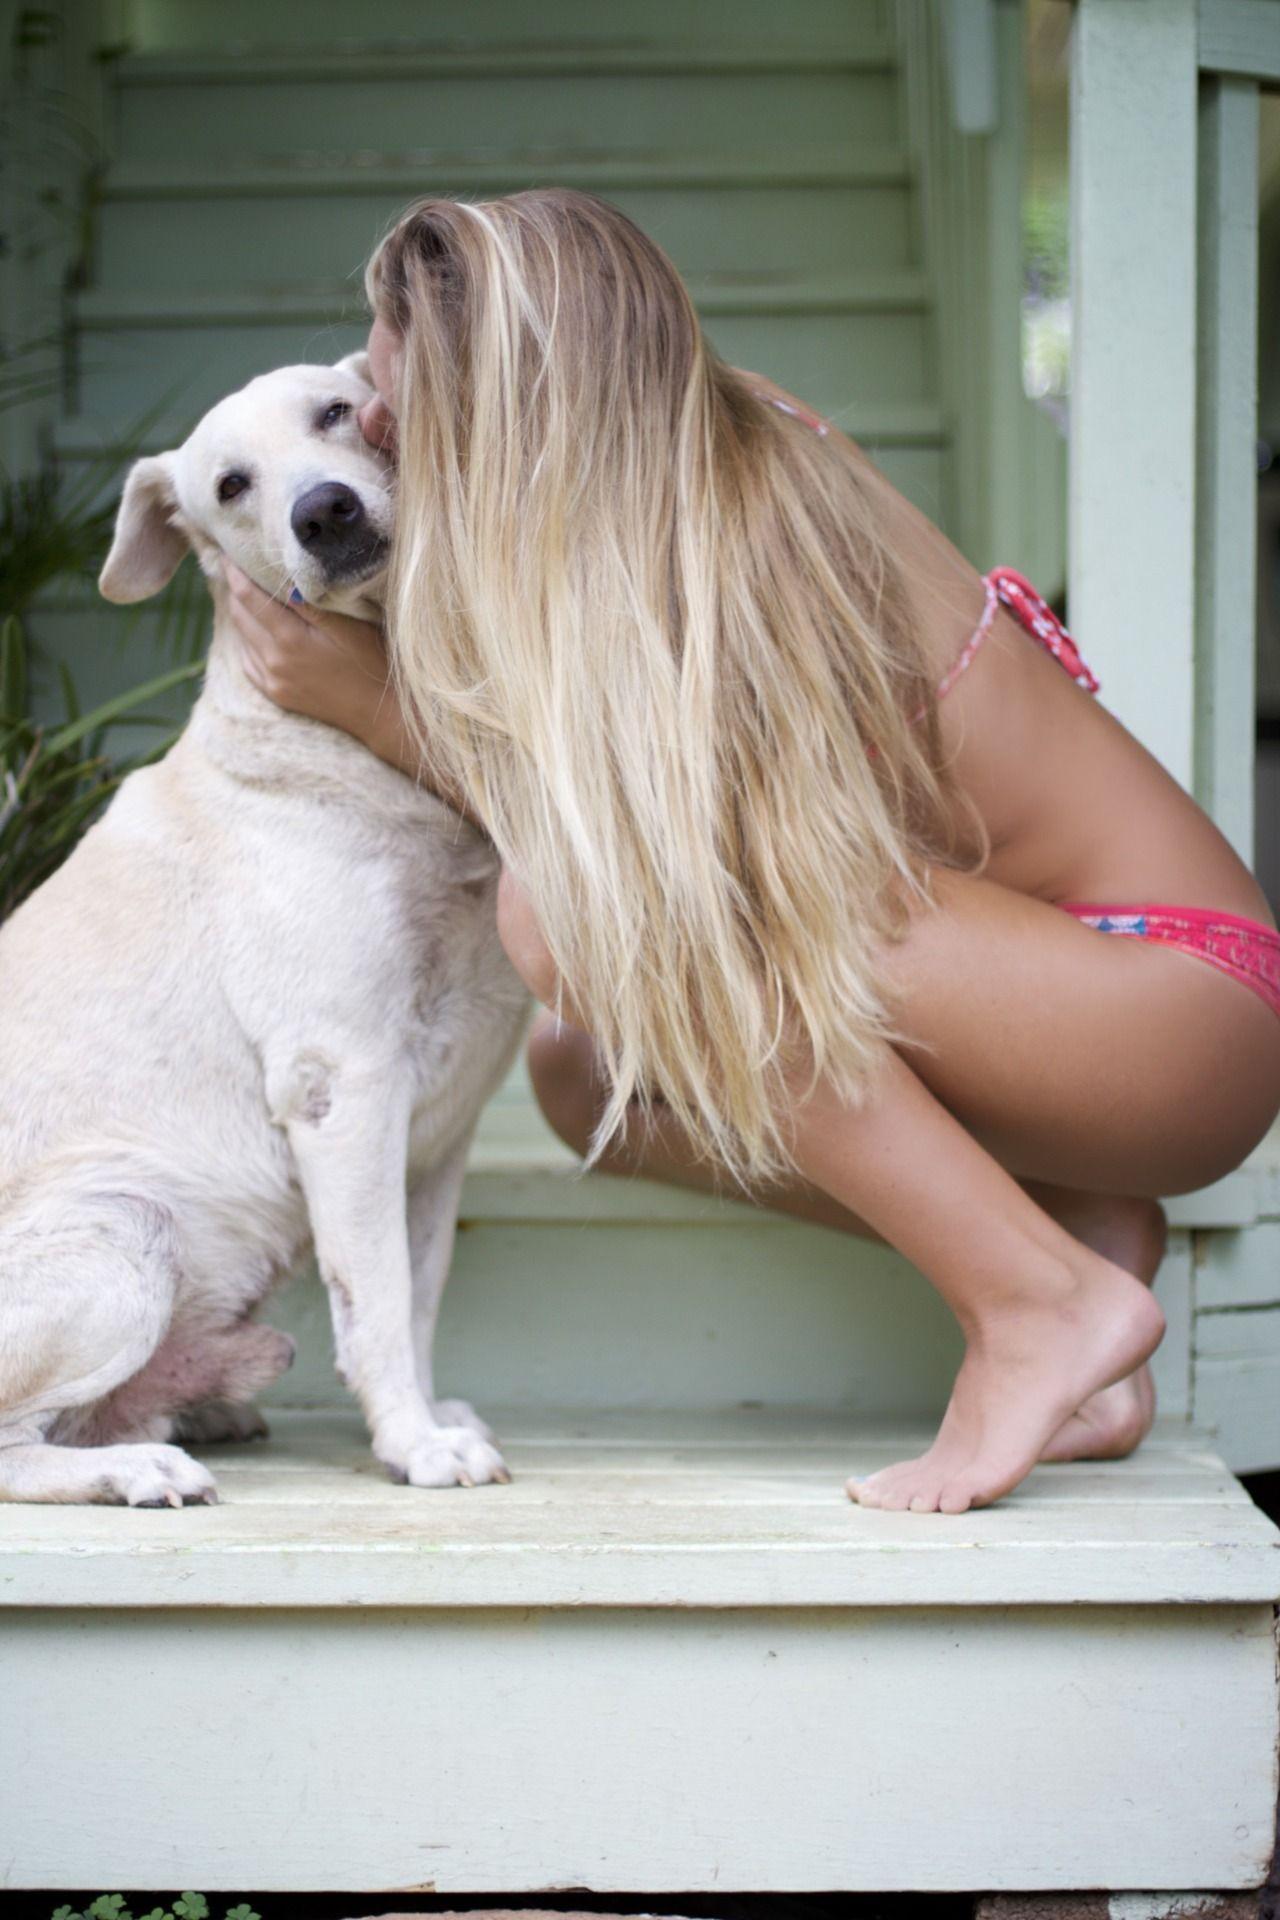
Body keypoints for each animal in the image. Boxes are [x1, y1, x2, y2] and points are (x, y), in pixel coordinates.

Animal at [0, 354, 530, 1505]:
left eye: (335, 414)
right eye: (231, 486)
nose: (323, 511)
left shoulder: (440, 1134)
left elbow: (418, 1293)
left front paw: (431, 1415)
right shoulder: (346, 1088)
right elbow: (375, 1300)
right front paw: (414, 1445)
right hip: (123, 1232)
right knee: (12, 1447)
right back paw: (139, 1466)